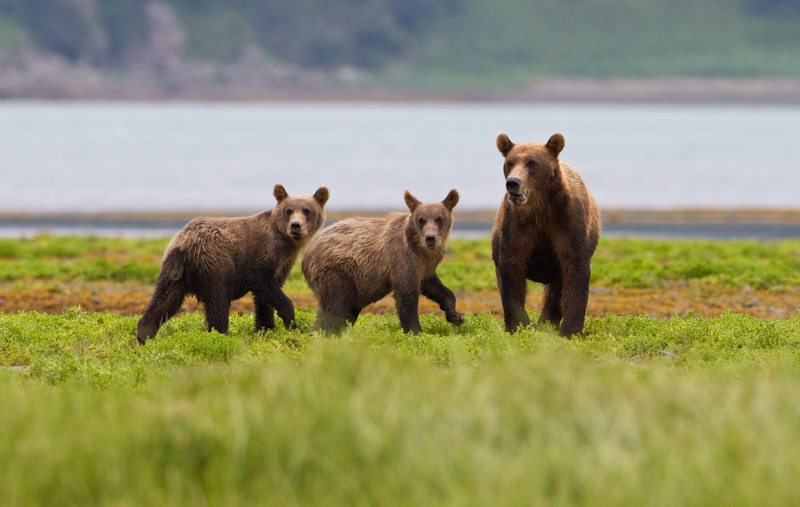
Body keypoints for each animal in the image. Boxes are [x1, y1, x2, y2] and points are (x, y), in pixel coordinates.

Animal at [138, 184, 328, 346]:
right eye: (289, 210)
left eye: (307, 210)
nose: (296, 226)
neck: (286, 243)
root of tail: (185, 245)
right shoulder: (261, 256)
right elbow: (262, 282)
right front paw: (294, 324)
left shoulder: (283, 264)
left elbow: (264, 300)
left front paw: (265, 328)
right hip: (215, 266)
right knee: (218, 303)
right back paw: (220, 335)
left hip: (174, 272)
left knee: (164, 300)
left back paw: (143, 334)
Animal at [302, 189, 466, 336]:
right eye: (421, 219)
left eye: (439, 218)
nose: (430, 238)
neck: (419, 249)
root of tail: (309, 252)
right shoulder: (401, 258)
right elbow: (406, 295)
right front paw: (415, 332)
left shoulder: (425, 266)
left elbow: (436, 287)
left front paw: (455, 316)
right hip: (337, 271)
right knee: (335, 305)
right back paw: (321, 333)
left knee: (349, 309)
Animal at [494, 133, 600, 338]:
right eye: (510, 162)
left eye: (531, 163)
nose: (513, 183)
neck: (540, 207)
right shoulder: (517, 226)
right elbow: (511, 267)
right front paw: (518, 324)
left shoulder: (568, 223)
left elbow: (576, 269)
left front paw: (570, 330)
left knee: (556, 290)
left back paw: (546, 322)